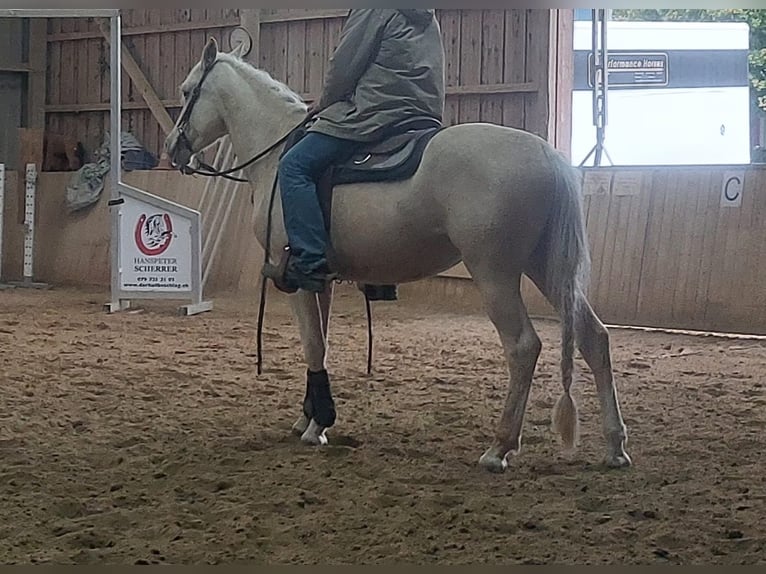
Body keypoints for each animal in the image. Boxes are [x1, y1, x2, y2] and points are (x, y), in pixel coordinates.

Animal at [164, 38, 631, 473]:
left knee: (522, 346)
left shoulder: (293, 277)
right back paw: (614, 445)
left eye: (187, 91)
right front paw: (309, 417)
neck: (277, 157)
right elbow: (321, 344)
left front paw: (318, 425)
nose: (172, 149)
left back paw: (499, 448)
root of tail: (546, 154)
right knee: (594, 337)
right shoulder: (321, 280)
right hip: (546, 269)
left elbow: (313, 344)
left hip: (495, 274)